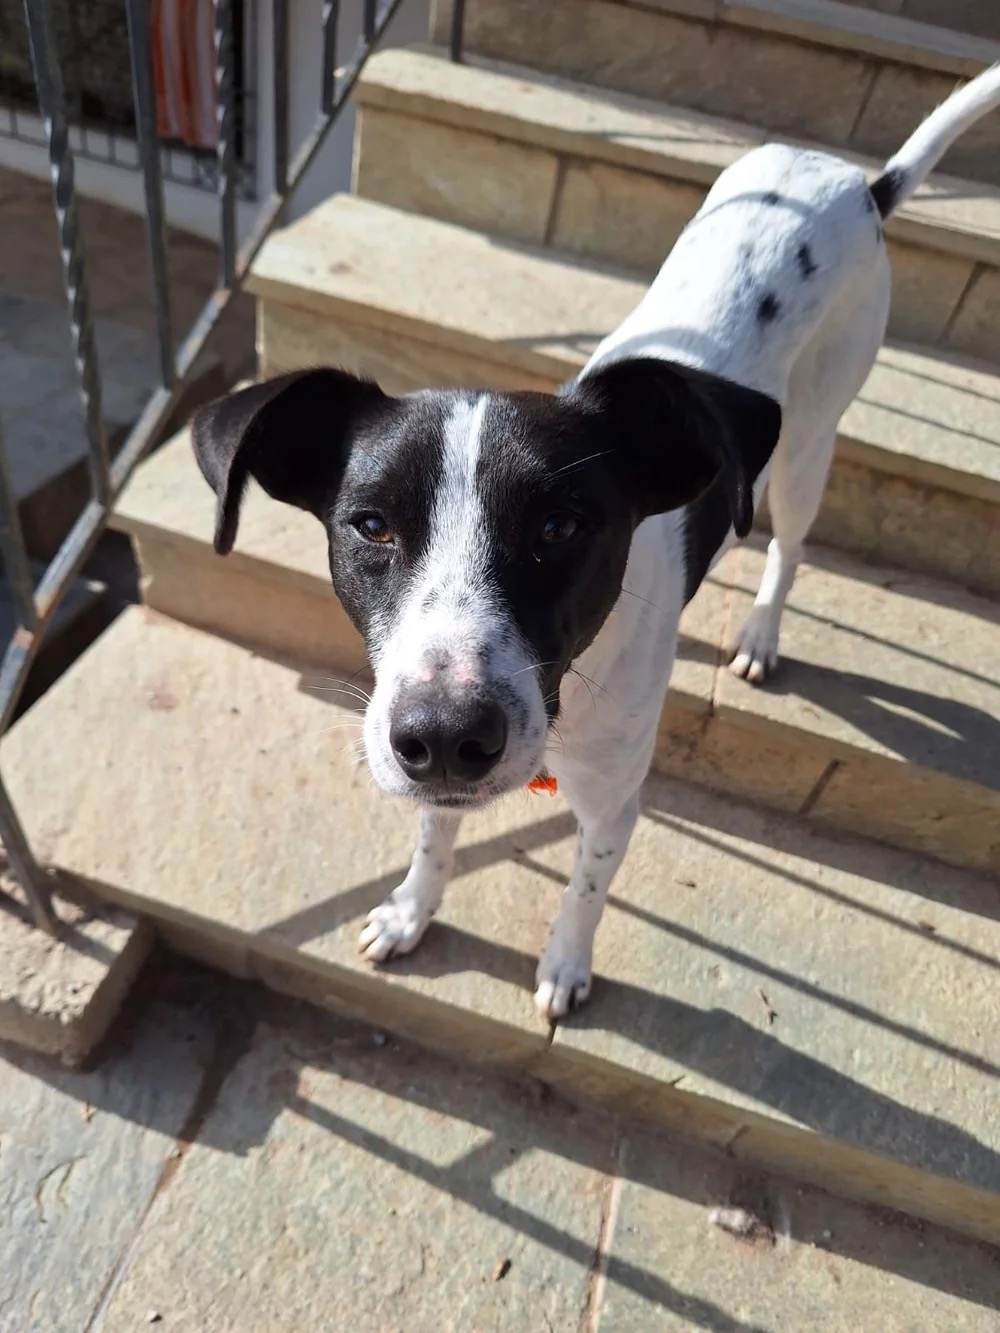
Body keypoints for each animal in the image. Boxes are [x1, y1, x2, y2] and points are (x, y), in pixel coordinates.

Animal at [193, 63, 1000, 1020]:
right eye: (372, 524)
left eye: (560, 526)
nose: (446, 734)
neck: (572, 690)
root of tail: (851, 182)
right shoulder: (430, 767)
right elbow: (434, 833)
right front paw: (409, 912)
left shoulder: (616, 804)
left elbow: (586, 886)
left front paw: (564, 966)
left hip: (811, 441)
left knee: (791, 543)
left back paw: (761, 632)